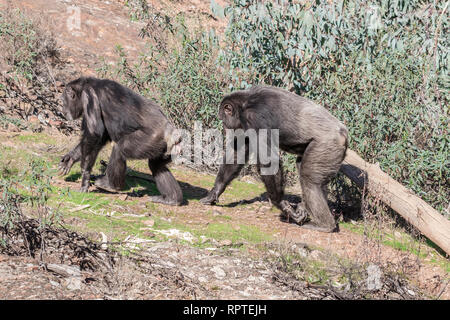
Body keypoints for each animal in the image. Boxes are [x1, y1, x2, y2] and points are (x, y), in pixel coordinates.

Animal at [59, 76, 184, 206]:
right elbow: (101, 138)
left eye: (63, 101)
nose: (62, 109)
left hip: (149, 140)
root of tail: (173, 135)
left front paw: (85, 177)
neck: (85, 86)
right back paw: (171, 199)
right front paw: (69, 159)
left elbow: (94, 134)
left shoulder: (88, 96)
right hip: (164, 150)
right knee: (156, 166)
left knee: (119, 150)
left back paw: (110, 185)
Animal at [200, 86, 348, 231]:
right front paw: (215, 192)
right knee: (310, 175)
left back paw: (324, 225)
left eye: (222, 118)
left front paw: (282, 204)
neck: (244, 105)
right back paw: (305, 209)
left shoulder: (255, 117)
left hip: (326, 146)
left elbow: (269, 160)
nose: (224, 126)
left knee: (310, 181)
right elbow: (238, 152)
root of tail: (344, 133)